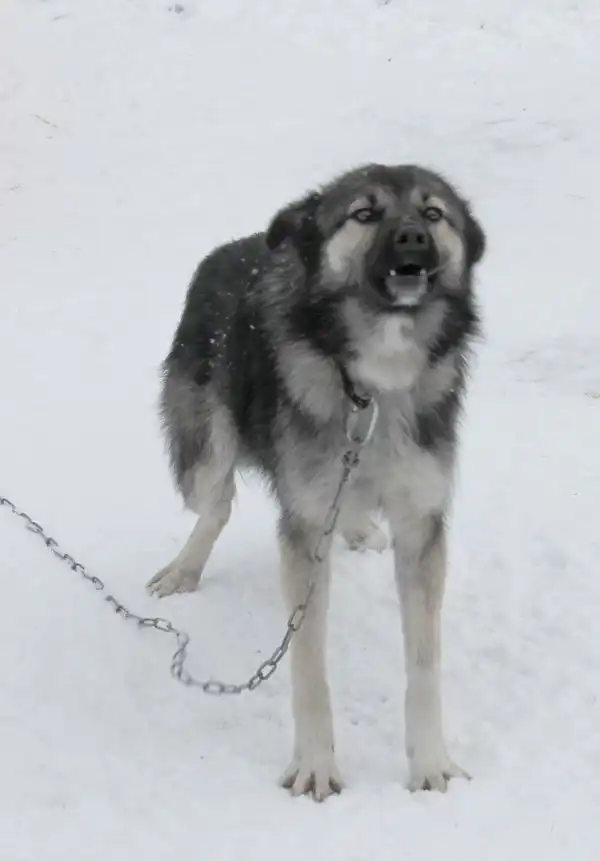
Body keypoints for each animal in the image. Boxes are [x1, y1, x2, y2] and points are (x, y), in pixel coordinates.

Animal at [147, 163, 486, 801]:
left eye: (433, 214)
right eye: (365, 213)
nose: (412, 239)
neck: (374, 384)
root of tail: (239, 244)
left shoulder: (421, 523)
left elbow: (424, 663)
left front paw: (430, 762)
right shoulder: (303, 527)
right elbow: (307, 666)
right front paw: (315, 766)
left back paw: (357, 527)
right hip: (206, 447)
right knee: (216, 502)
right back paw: (184, 567)